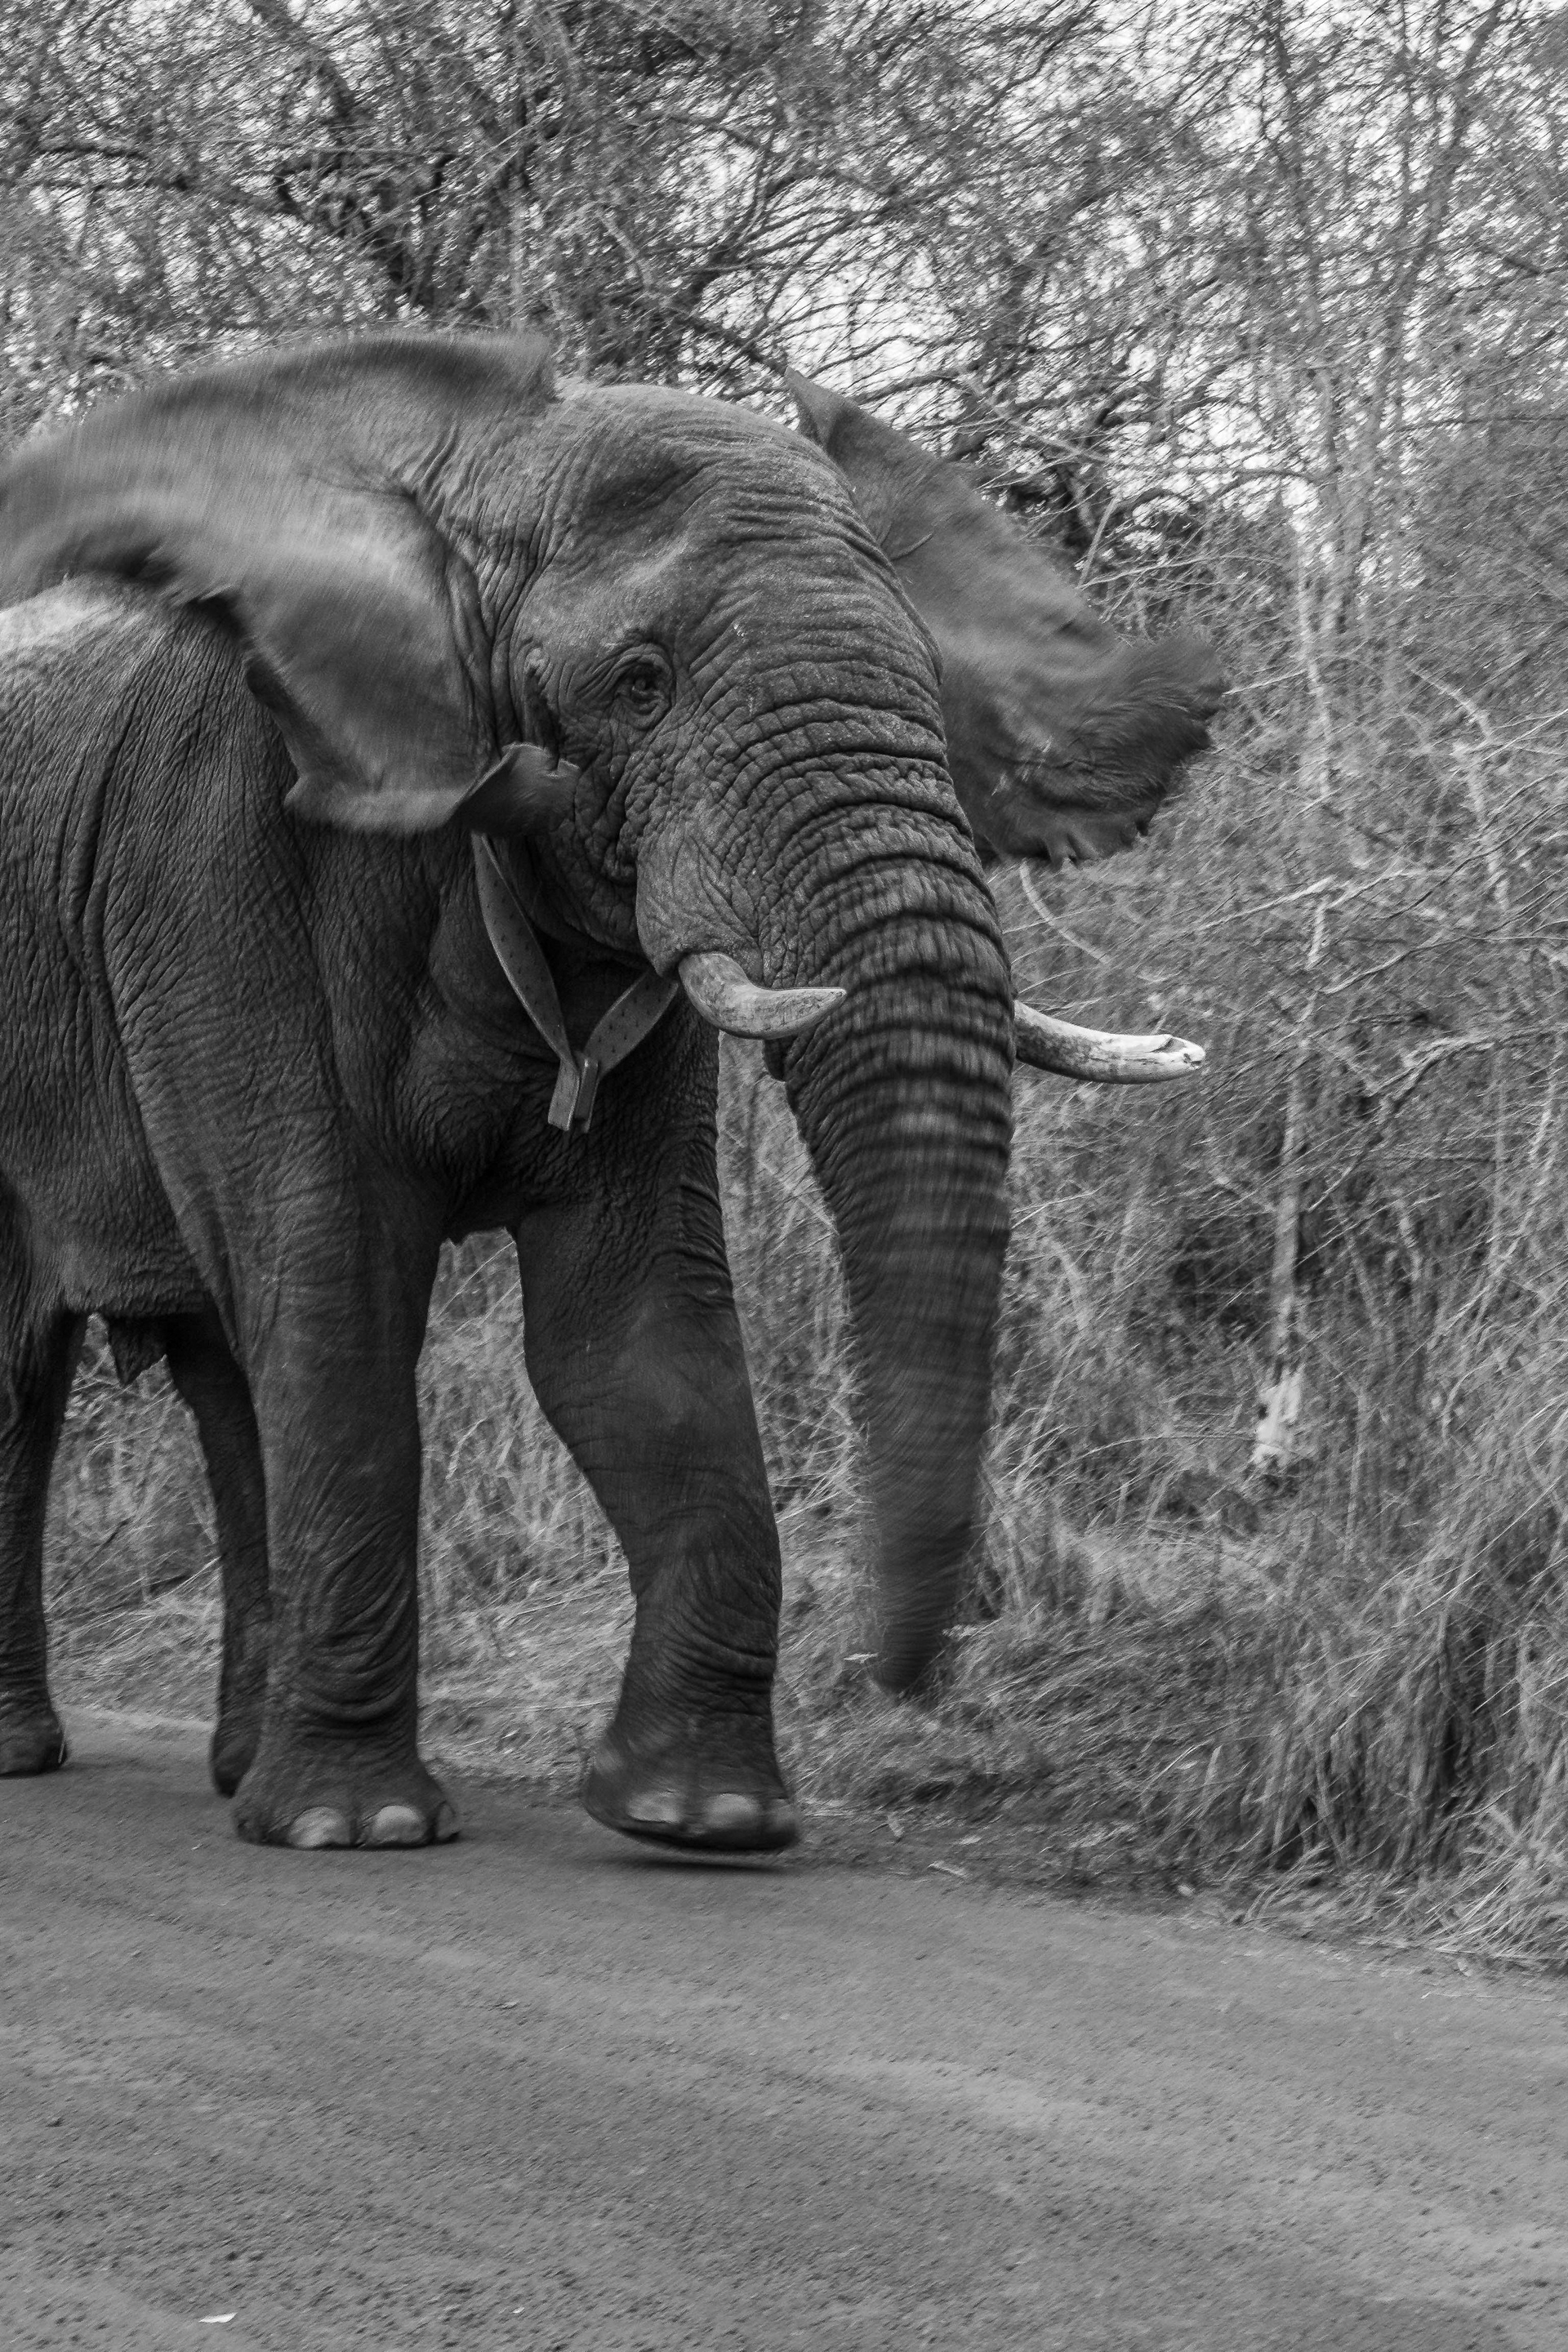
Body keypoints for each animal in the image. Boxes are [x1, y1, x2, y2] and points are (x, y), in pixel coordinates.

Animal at [0, 333, 1222, 1852]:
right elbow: (336, 1301)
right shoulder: (219, 870)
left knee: (227, 1381)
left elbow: (631, 1336)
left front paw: (705, 1817)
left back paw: (236, 1771)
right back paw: (45, 1758)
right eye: (640, 684)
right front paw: (364, 1831)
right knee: (33, 1372)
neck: (473, 476)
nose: (904, 1682)